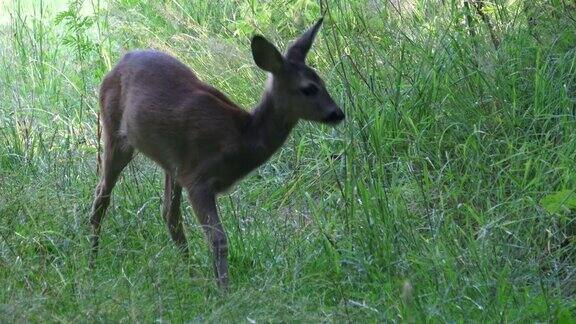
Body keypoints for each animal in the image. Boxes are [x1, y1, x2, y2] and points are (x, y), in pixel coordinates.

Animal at [88, 17, 344, 288]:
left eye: (323, 82)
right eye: (309, 88)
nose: (338, 113)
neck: (241, 138)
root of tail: (117, 64)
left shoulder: (189, 173)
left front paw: (216, 282)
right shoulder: (199, 179)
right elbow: (219, 240)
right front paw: (224, 288)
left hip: (172, 162)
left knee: (170, 214)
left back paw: (192, 274)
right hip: (115, 133)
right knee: (102, 195)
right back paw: (92, 264)